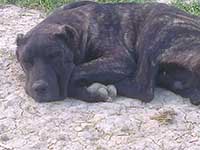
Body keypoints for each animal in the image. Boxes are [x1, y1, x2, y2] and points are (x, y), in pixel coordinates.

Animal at [15, 0, 200, 104]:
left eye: (55, 57)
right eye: (26, 62)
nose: (39, 88)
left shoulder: (119, 59)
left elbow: (73, 73)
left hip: (156, 24)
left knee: (144, 89)